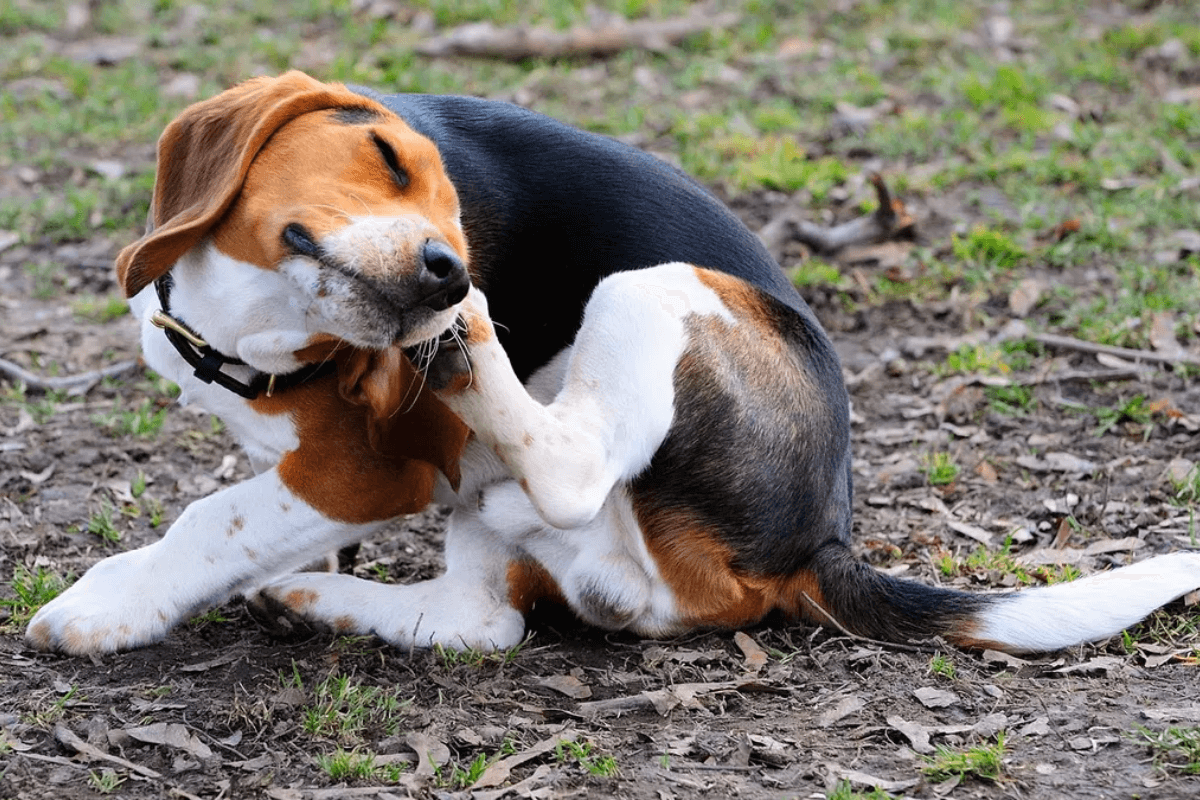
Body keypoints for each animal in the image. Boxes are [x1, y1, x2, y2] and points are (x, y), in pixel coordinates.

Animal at [25, 70, 1200, 657]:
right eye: (387, 156)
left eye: (460, 215)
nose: (452, 271)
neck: (249, 322)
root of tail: (818, 540)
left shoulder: (370, 469)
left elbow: (210, 518)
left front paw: (109, 606)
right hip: (500, 520)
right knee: (488, 623)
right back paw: (327, 599)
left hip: (653, 287)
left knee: (570, 471)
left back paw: (476, 361)